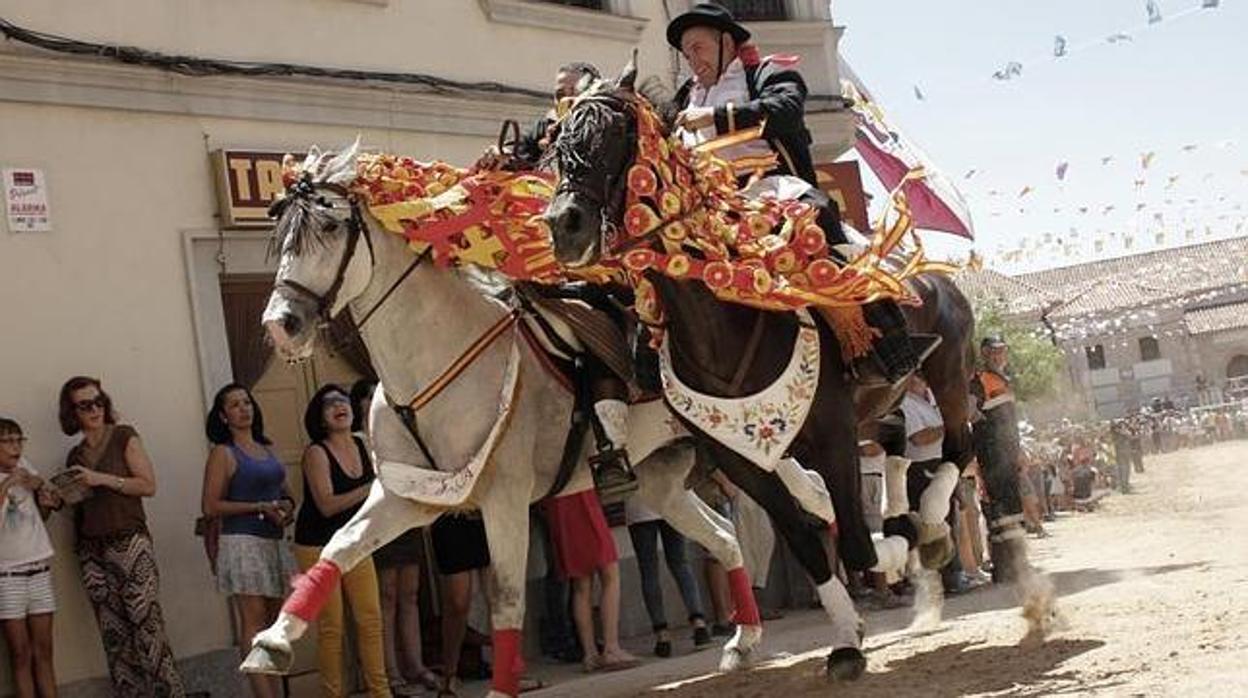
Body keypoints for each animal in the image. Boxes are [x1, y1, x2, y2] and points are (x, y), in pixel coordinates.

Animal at [243, 144, 763, 694]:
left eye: (329, 226)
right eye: (283, 236)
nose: (281, 326)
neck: (436, 361)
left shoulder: (505, 499)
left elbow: (507, 599)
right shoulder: (407, 498)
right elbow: (338, 548)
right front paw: (271, 643)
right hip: (661, 482)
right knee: (724, 536)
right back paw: (743, 641)